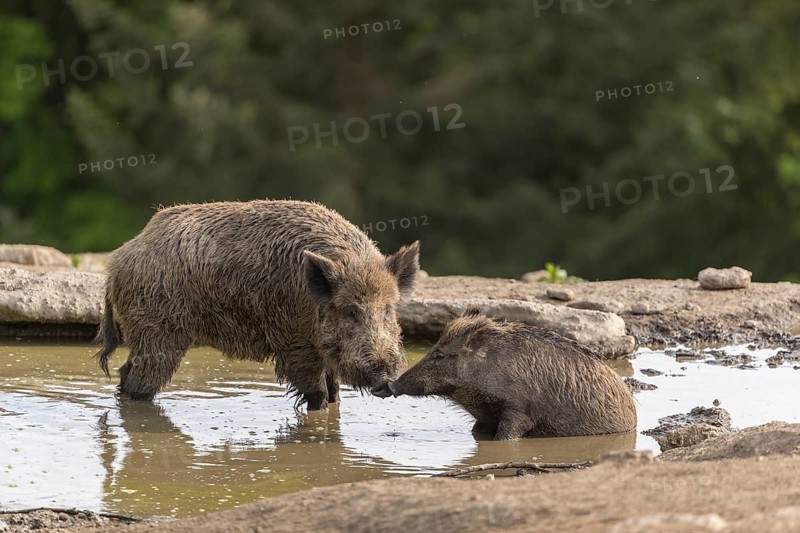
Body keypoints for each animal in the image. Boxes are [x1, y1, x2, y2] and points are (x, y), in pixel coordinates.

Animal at [95, 200, 419, 410]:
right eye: (350, 310)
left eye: (388, 309)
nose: (385, 379)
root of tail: (118, 261)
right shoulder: (295, 344)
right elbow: (317, 397)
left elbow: (334, 394)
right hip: (159, 332)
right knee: (138, 382)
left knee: (124, 372)